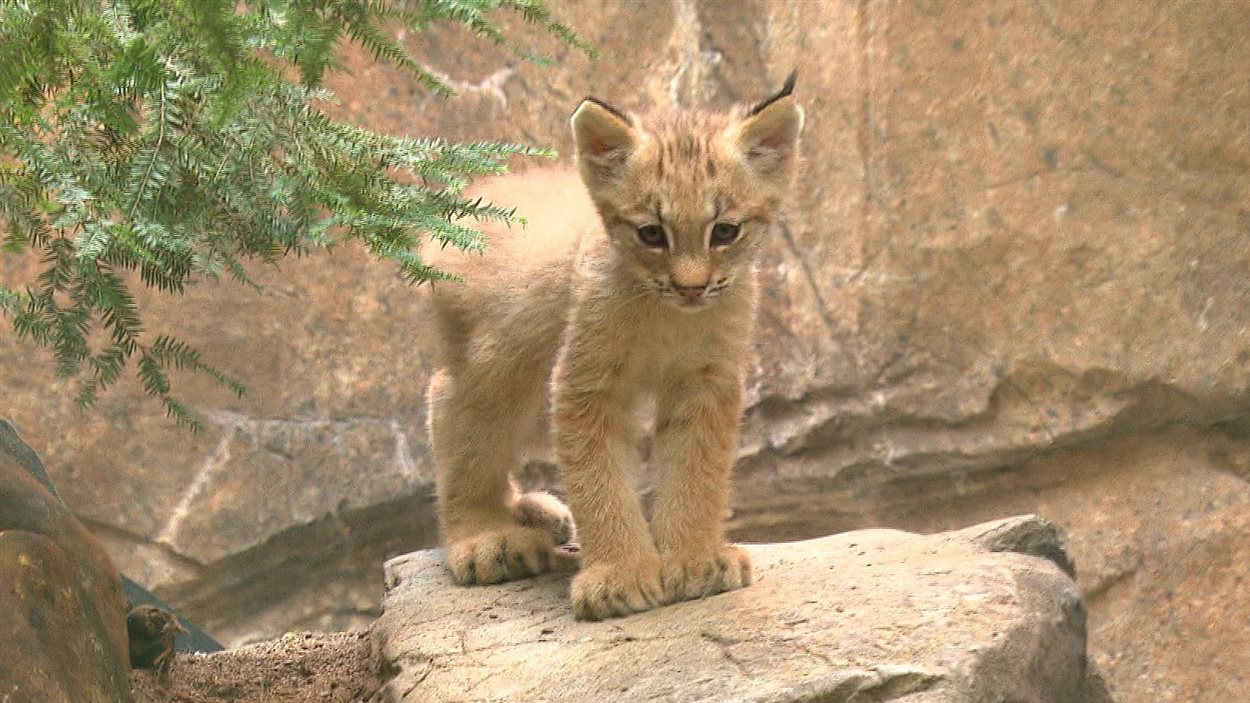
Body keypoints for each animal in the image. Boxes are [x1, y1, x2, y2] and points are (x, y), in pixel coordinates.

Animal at [425, 73, 805, 615]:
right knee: (453, 408)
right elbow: (598, 477)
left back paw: (530, 512)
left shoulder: (706, 378)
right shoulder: (587, 382)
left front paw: (694, 557)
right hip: (500, 364)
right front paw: (618, 573)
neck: (665, 312)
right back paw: (485, 536)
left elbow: (697, 468)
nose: (692, 287)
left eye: (725, 232)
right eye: (651, 234)